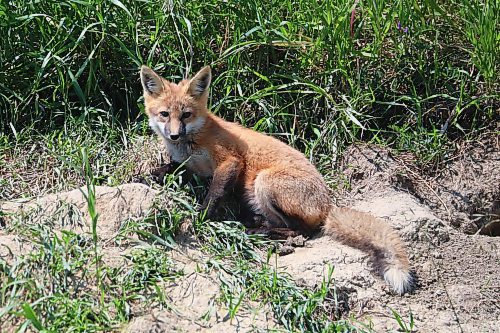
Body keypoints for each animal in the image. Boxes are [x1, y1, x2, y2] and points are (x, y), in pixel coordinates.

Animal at [141, 65, 414, 294]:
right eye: (164, 114)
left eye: (186, 115)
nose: (174, 135)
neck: (192, 143)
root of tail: (328, 206)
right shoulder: (188, 165)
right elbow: (171, 169)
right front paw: (150, 176)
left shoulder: (230, 161)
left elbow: (214, 194)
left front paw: (202, 217)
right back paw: (256, 223)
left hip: (264, 182)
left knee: (302, 231)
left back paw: (260, 231)